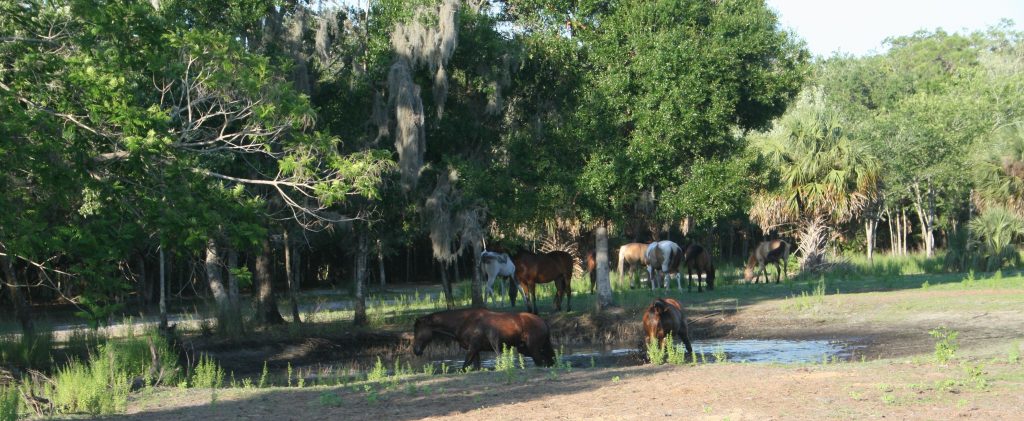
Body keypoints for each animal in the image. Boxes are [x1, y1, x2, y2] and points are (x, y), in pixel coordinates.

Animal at [407, 307, 557, 370]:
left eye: (417, 330)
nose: (416, 350)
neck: (463, 322)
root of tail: (543, 322)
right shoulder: (476, 350)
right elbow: (475, 367)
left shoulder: (472, 349)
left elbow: (464, 366)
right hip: (525, 349)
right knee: (548, 360)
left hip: (533, 349)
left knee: (543, 361)